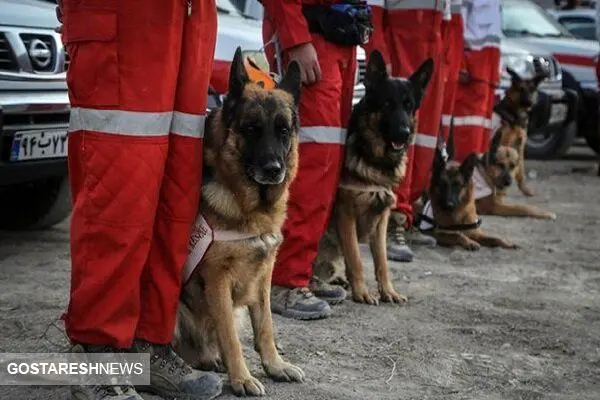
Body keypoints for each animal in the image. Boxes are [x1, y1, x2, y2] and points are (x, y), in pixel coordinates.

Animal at [173, 47, 304, 396]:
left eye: (283, 130)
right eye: (251, 129)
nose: (273, 170)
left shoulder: (264, 274)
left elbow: (266, 325)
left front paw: (274, 365)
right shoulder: (218, 278)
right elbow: (230, 336)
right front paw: (242, 378)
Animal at [312, 50, 434, 306]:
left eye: (409, 106)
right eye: (387, 104)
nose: (404, 133)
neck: (375, 159)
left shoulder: (382, 216)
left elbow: (382, 261)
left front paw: (388, 291)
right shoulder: (346, 214)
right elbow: (356, 258)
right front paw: (362, 292)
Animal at [492, 68, 548, 198]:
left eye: (532, 89)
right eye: (521, 89)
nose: (529, 102)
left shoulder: (520, 146)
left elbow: (520, 170)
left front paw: (525, 189)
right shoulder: (503, 143)